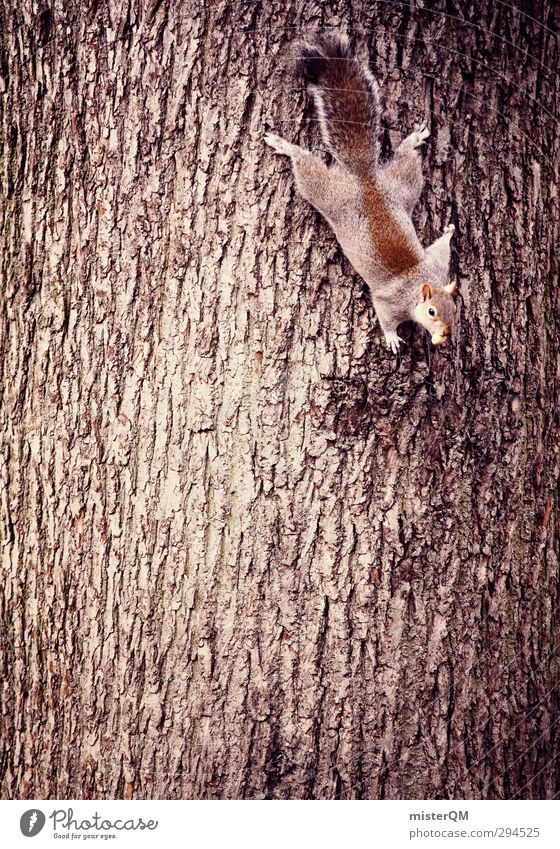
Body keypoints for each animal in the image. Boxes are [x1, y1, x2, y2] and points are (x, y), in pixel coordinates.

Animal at [264, 34, 458, 352]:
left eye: (455, 309)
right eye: (431, 311)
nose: (444, 334)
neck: (419, 281)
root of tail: (364, 175)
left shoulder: (437, 266)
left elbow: (440, 249)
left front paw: (449, 232)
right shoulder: (389, 301)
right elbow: (386, 317)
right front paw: (392, 338)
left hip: (403, 185)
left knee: (406, 160)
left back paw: (414, 140)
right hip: (327, 193)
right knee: (306, 168)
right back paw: (285, 146)